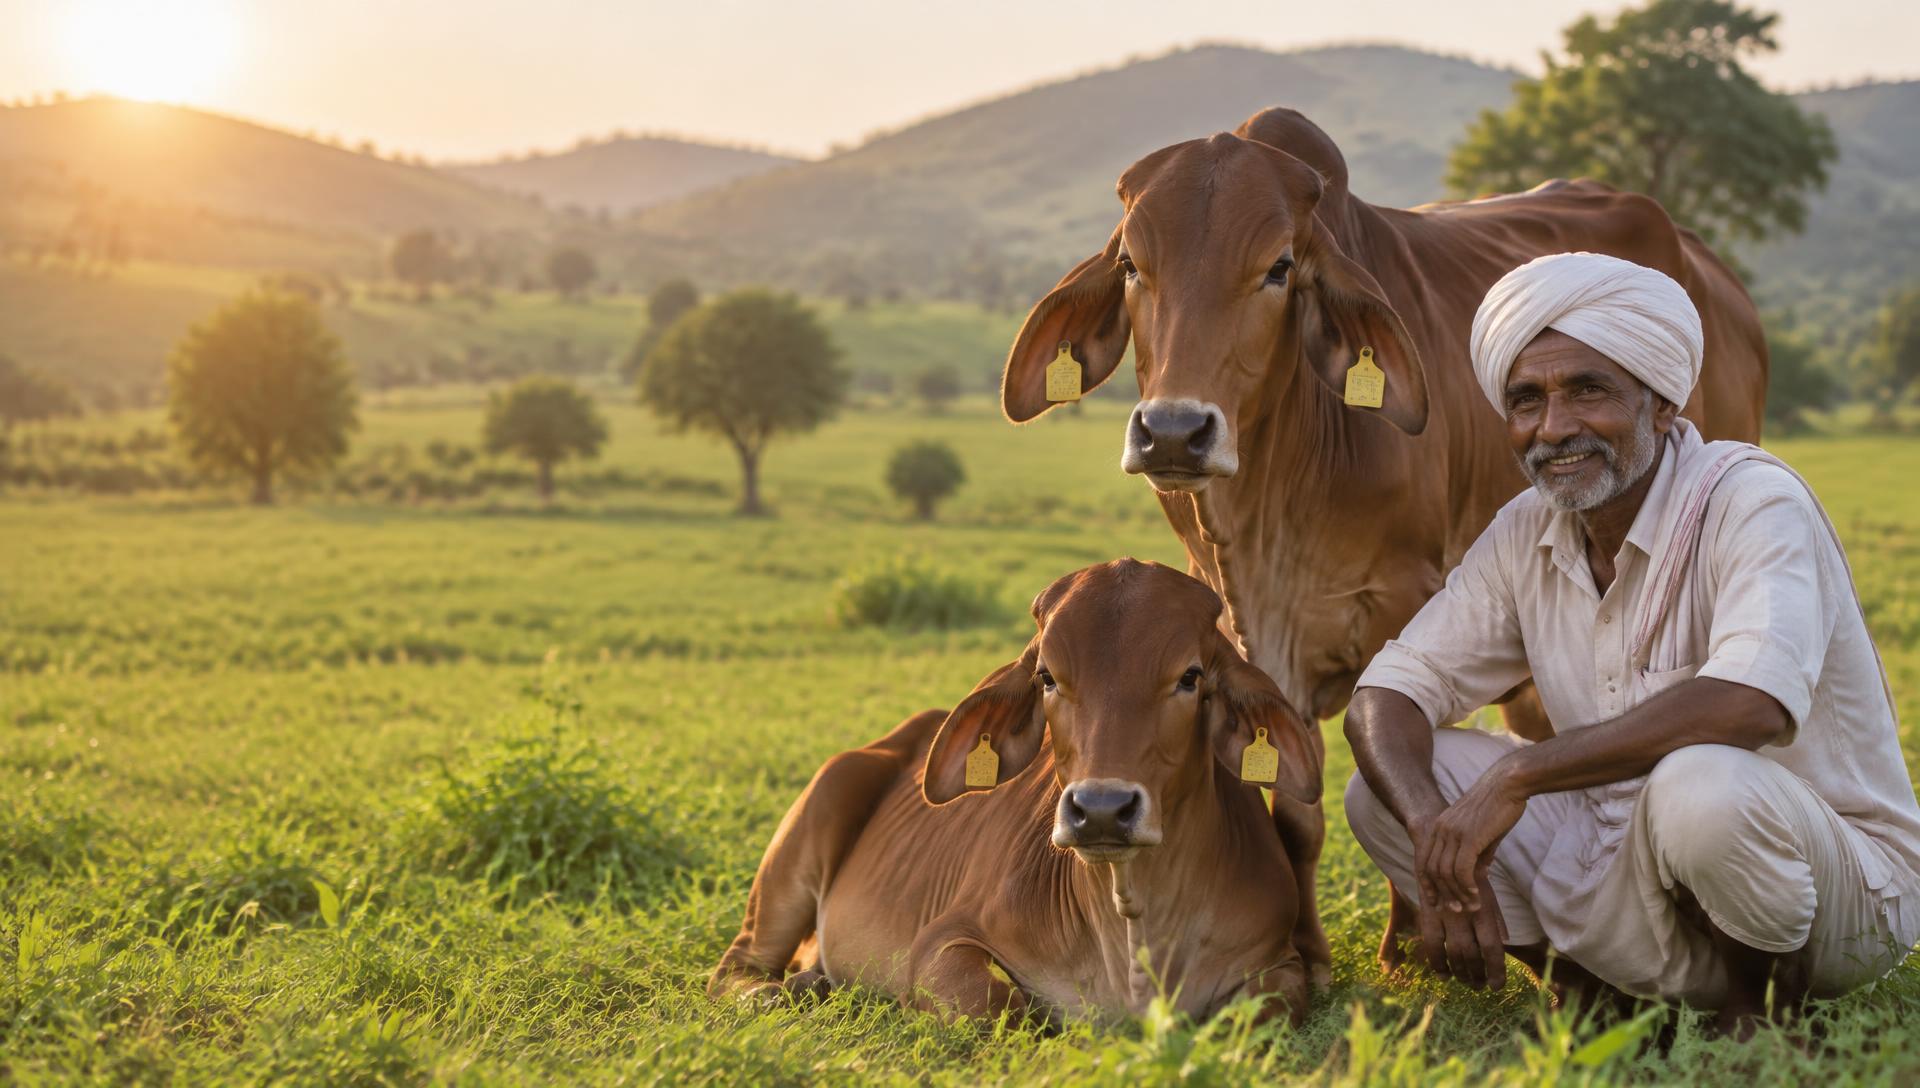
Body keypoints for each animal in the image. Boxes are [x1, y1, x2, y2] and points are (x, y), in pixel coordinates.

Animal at [710, 559, 1322, 1025]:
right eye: (1047, 677)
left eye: (1190, 677)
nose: (1102, 810)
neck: (1133, 932)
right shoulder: (941, 942)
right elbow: (996, 1004)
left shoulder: (1279, 962)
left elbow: (1260, 1014)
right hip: (816, 816)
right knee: (734, 968)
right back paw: (783, 991)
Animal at [998, 108, 1768, 978]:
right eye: (1133, 263)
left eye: (1280, 267)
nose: (1173, 431)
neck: (1270, 502)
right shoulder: (1244, 631)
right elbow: (1297, 809)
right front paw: (1311, 952)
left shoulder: (1403, 598)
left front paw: (1410, 942)